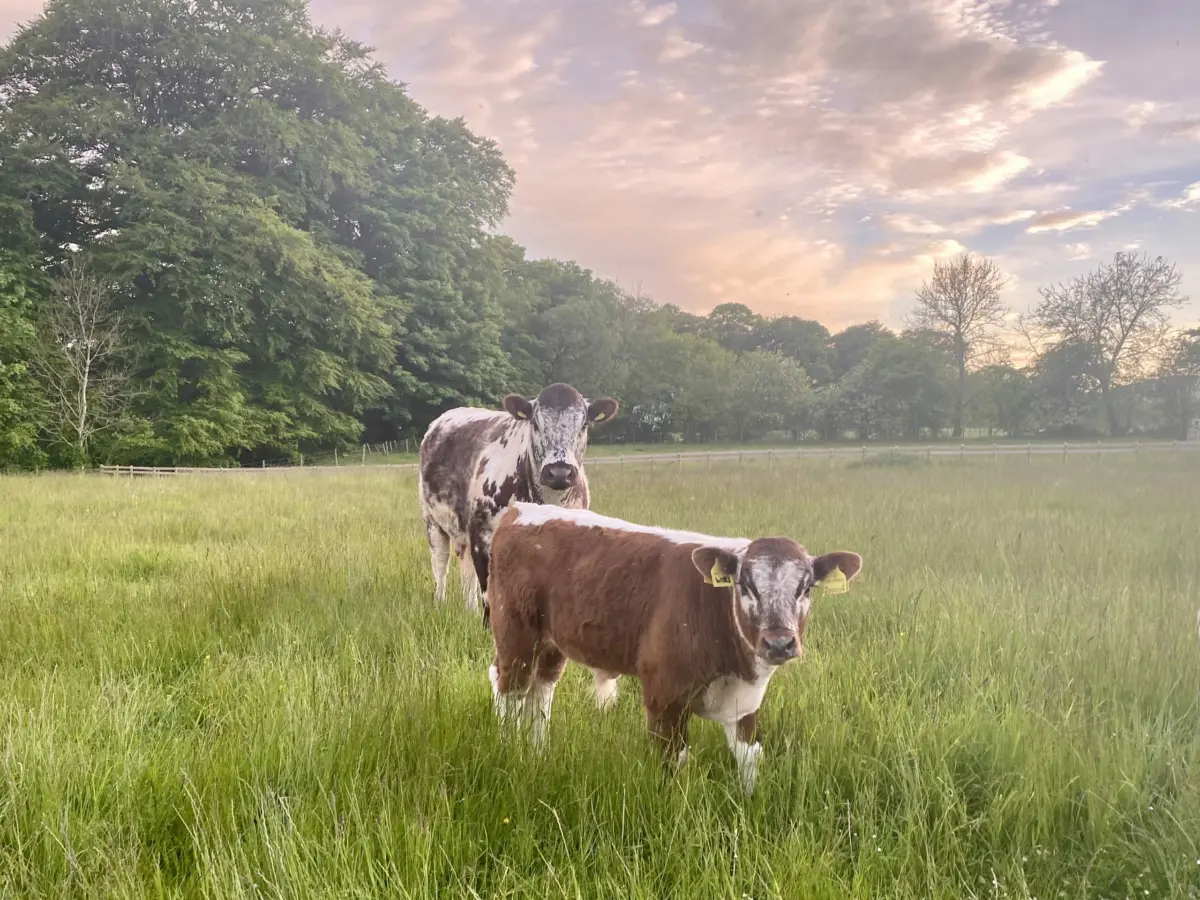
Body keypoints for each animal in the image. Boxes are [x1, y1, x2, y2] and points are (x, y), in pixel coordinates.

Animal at [417, 383, 619, 622]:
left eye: (584, 425)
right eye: (535, 423)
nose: (559, 472)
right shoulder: (483, 536)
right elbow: (489, 594)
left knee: (466, 571)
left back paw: (470, 609)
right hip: (433, 521)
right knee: (441, 564)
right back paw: (440, 602)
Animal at [485, 502, 863, 795]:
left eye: (806, 588)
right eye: (745, 585)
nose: (779, 642)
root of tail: (521, 509)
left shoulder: (745, 703)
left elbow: (749, 757)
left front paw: (750, 803)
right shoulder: (663, 695)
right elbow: (674, 761)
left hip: (551, 645)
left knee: (540, 692)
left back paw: (537, 755)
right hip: (515, 633)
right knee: (510, 689)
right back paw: (509, 753)